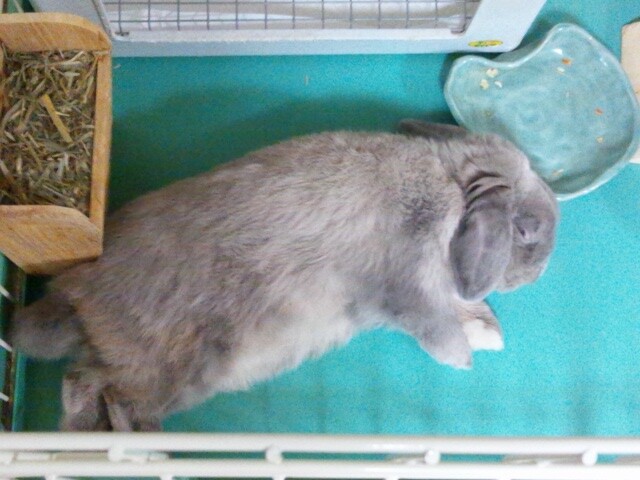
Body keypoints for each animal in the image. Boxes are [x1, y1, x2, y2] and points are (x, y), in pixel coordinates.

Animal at [7, 121, 558, 431]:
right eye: (525, 231)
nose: (533, 278)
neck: (449, 184)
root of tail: (75, 294)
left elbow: (460, 306)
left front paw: (489, 333)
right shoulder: (406, 281)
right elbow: (434, 321)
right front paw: (462, 358)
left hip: (146, 364)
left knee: (82, 381)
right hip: (177, 364)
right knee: (119, 399)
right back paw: (145, 447)